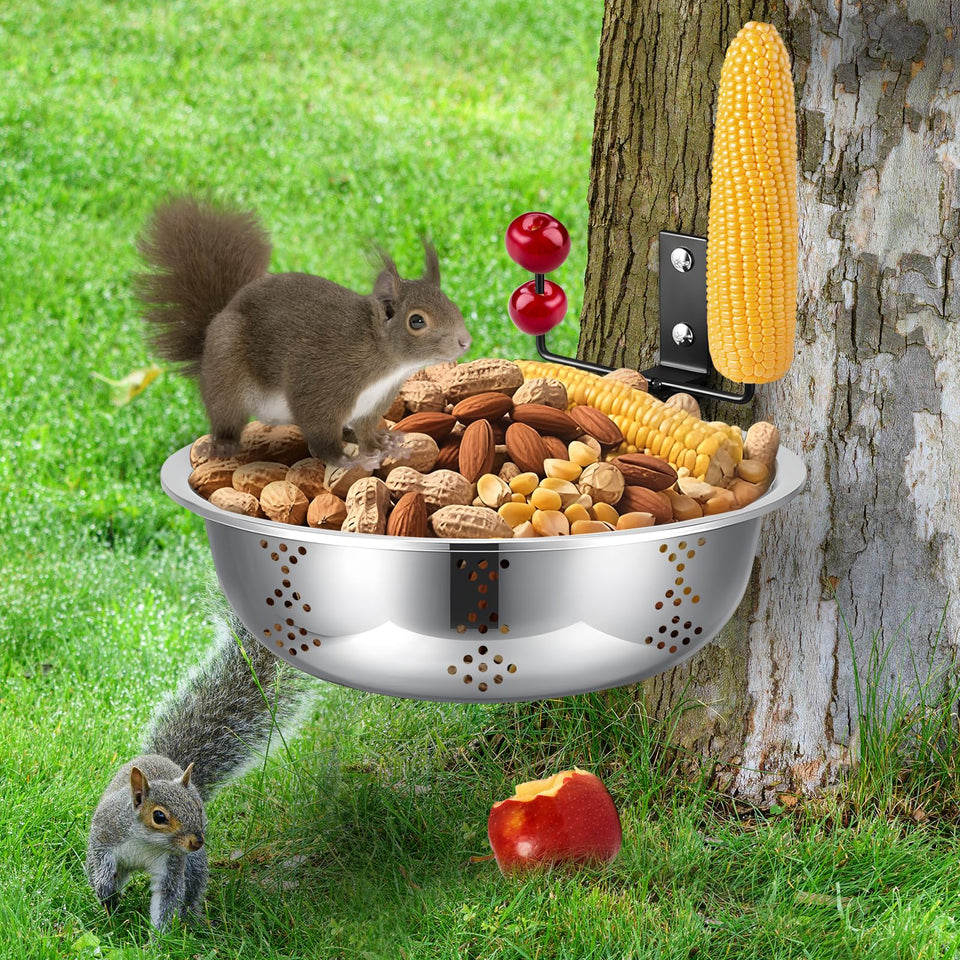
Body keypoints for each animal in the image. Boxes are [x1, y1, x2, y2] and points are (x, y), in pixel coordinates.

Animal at [85, 605, 316, 931]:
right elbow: (100, 867)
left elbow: (167, 898)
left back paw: (193, 920)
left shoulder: (172, 864)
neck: (146, 842)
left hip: (194, 864)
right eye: (159, 816)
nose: (197, 840)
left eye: (199, 810)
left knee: (192, 887)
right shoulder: (106, 835)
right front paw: (108, 906)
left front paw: (158, 938)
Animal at [135, 196, 472, 468]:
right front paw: (347, 461)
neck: (383, 360)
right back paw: (224, 445)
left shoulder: (373, 403)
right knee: (226, 416)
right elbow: (321, 433)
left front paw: (382, 444)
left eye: (452, 302)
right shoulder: (320, 384)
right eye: (417, 321)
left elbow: (365, 429)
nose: (465, 341)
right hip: (225, 374)